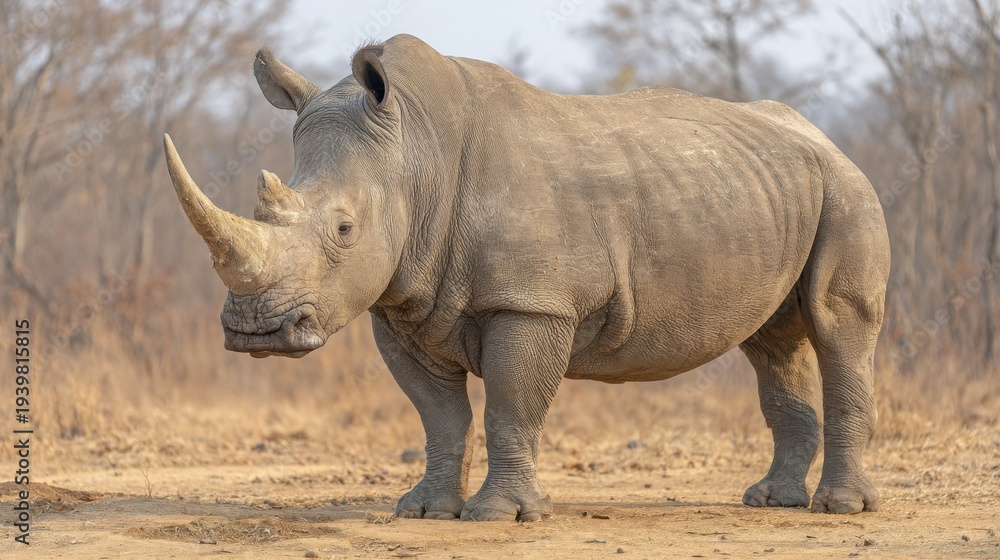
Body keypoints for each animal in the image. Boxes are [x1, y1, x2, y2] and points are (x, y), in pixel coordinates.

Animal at [163, 34, 889, 521]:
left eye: (344, 229)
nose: (254, 331)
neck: (415, 151)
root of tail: (825, 137)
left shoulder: (533, 303)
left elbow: (512, 402)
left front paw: (502, 515)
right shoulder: (400, 304)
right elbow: (439, 414)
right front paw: (424, 511)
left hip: (848, 189)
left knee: (839, 325)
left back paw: (840, 510)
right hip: (772, 192)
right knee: (773, 343)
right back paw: (771, 502)